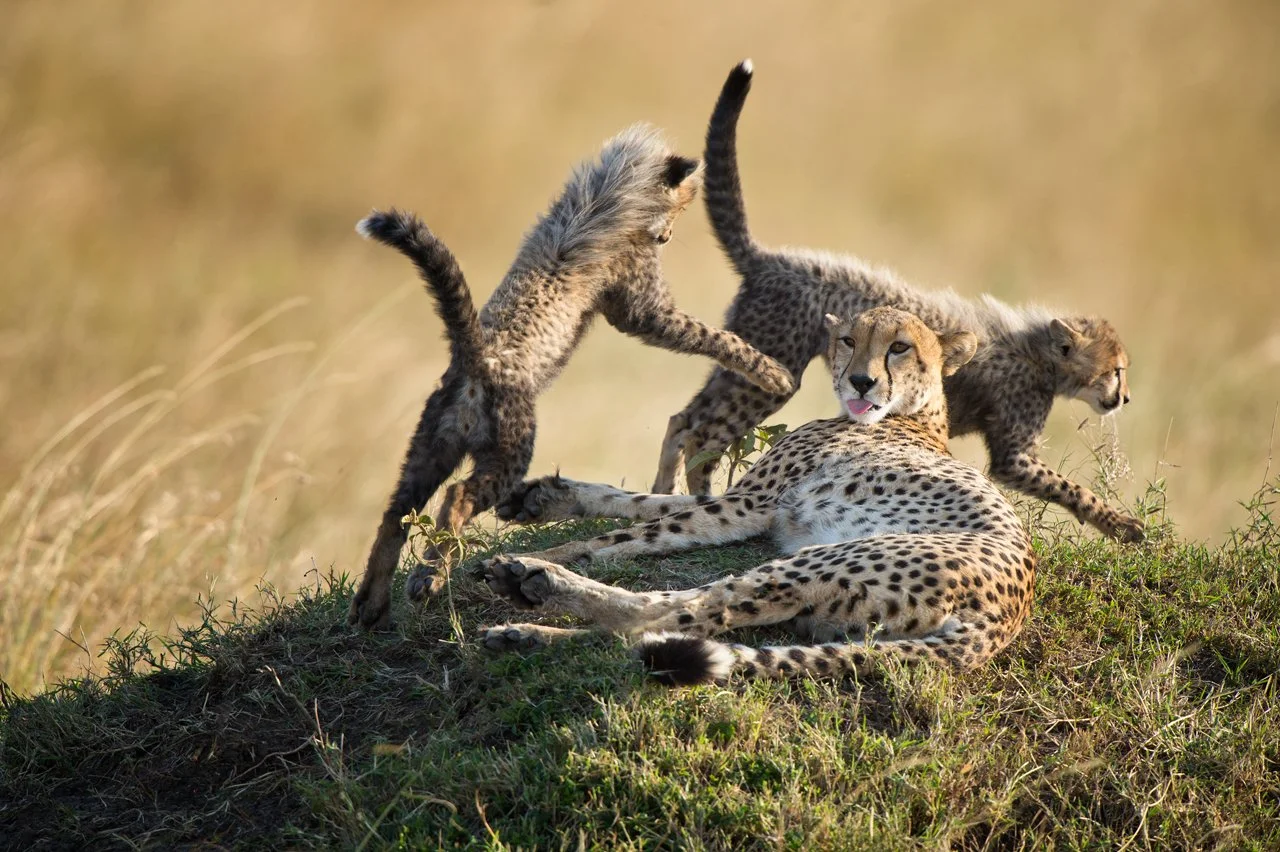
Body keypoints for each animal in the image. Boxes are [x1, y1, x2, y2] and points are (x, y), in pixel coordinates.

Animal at [348, 124, 796, 631]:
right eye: (682, 206)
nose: (666, 236)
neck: (607, 189)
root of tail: (477, 355)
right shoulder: (643, 310)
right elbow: (713, 336)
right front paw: (774, 373)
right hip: (508, 451)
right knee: (457, 497)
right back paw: (430, 577)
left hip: (430, 447)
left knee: (396, 511)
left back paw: (372, 604)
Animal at [479, 305, 1037, 685]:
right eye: (848, 340)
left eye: (899, 347)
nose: (861, 380)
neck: (916, 415)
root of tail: (1005, 618)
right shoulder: (757, 504)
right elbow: (639, 502)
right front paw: (543, 498)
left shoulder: (753, 503)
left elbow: (632, 531)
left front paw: (551, 551)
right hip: (824, 592)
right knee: (679, 611)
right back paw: (529, 616)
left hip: (826, 559)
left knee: (670, 619)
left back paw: (534, 595)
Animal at [649, 59, 1142, 544]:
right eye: (1116, 370)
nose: (1124, 398)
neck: (1039, 350)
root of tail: (770, 258)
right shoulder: (1013, 453)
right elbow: (1068, 486)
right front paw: (1123, 525)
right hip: (770, 373)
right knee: (706, 435)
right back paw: (701, 495)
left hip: (742, 359)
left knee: (683, 420)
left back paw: (668, 488)